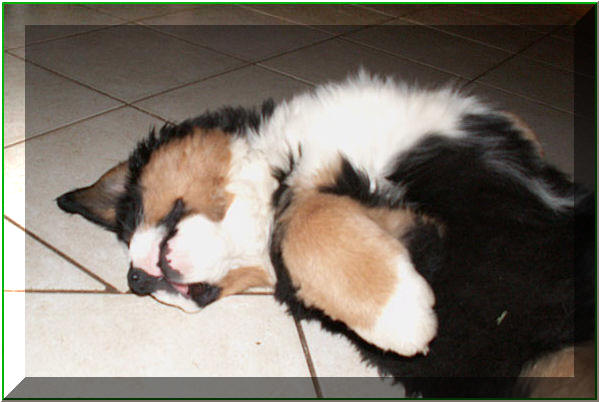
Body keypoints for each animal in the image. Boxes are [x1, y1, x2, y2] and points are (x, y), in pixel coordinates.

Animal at [57, 72, 595, 397]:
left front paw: (402, 314)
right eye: (126, 232)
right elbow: (308, 222)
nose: (135, 279)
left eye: (133, 213)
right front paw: (403, 314)